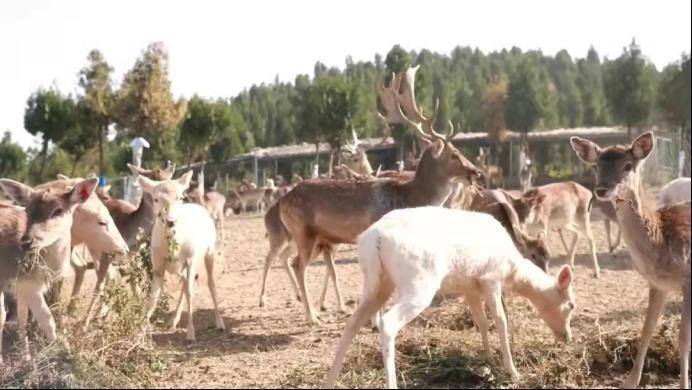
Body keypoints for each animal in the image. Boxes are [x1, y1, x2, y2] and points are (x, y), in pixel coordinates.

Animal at [138, 171, 227, 342]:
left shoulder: (191, 258)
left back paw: (220, 323)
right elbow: (153, 296)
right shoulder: (157, 264)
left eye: (180, 197)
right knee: (185, 284)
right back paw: (173, 321)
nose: (171, 221)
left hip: (209, 253)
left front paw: (191, 334)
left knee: (210, 284)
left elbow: (191, 292)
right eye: (156, 198)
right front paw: (139, 332)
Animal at [270, 65, 482, 324]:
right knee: (297, 264)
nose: (476, 171)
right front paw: (375, 321)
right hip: (303, 232)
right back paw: (312, 316)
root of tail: (281, 202)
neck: (410, 198)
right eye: (454, 154)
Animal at [324, 206, 572, 388]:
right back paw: (390, 384)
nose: (567, 337)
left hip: (376, 282)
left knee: (352, 323)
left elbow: (481, 322)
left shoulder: (470, 287)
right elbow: (501, 321)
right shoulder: (491, 278)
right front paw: (513, 371)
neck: (512, 268)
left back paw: (330, 380)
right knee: (388, 323)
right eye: (570, 305)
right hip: (418, 283)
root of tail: (374, 237)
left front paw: (489, 358)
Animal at [572, 132, 688, 390]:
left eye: (628, 165)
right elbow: (646, 331)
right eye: (596, 165)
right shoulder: (657, 284)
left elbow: (684, 339)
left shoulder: (689, 282)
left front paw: (684, 384)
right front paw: (629, 382)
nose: (602, 189)